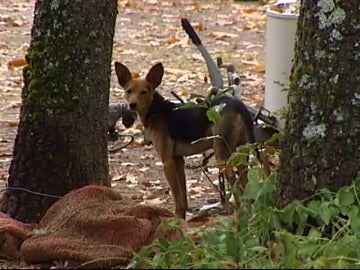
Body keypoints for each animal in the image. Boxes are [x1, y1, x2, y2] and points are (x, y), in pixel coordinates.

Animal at [114, 61, 255, 217]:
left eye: (144, 92)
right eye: (128, 91)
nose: (132, 105)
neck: (156, 109)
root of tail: (239, 105)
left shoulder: (167, 161)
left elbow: (175, 195)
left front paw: (176, 217)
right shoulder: (178, 160)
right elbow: (183, 194)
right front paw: (182, 216)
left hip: (222, 156)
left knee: (237, 188)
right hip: (241, 154)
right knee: (245, 186)